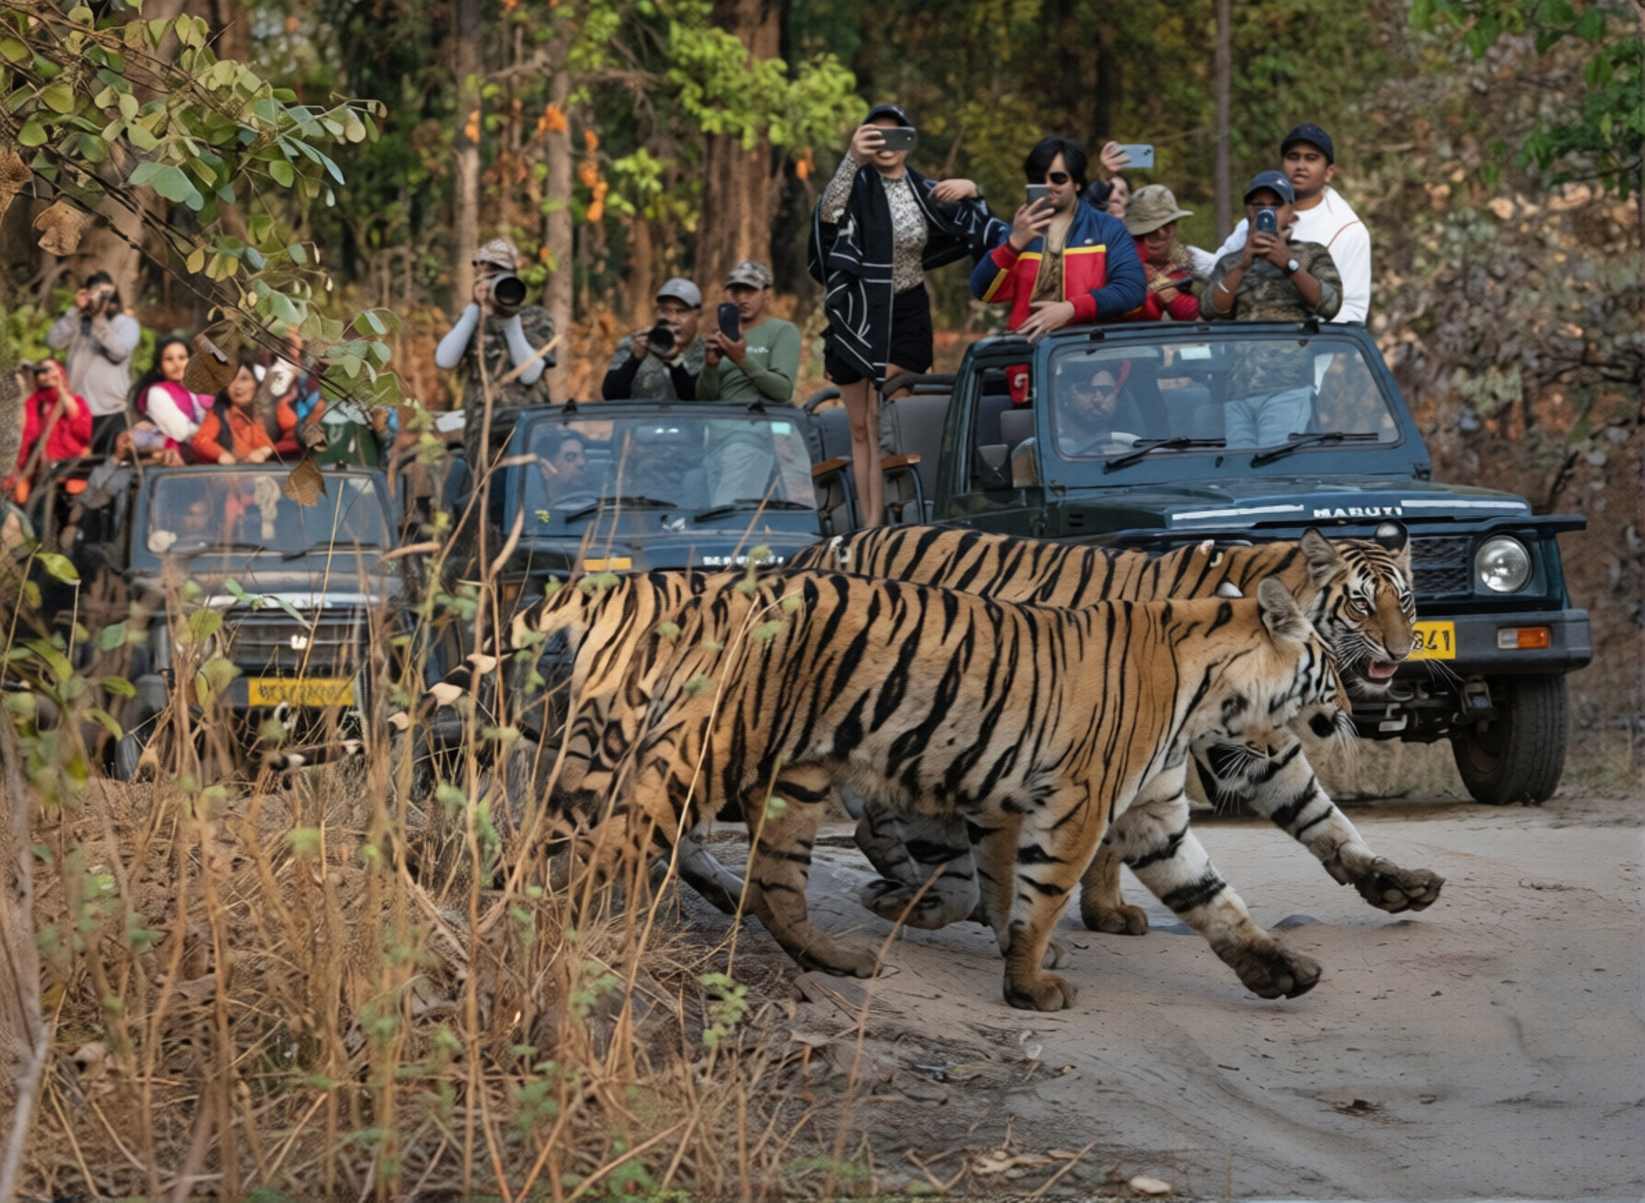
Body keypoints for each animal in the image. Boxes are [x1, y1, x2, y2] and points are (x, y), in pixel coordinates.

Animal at [578, 568, 1354, 1011]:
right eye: (1328, 663)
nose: (1348, 707)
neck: (1209, 693)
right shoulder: (1076, 805)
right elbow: (1039, 895)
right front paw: (1030, 987)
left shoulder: (1150, 814)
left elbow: (1213, 900)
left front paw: (1280, 972)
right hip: (710, 752)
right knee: (616, 834)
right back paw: (582, 938)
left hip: (789, 778)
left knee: (769, 883)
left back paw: (830, 956)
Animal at [777, 524, 1442, 935]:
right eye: (1361, 604)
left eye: (1405, 601)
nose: (1401, 650)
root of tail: (806, 556)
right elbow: (1109, 840)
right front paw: (1108, 913)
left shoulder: (1260, 746)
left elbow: (1323, 818)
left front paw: (1392, 884)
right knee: (872, 820)